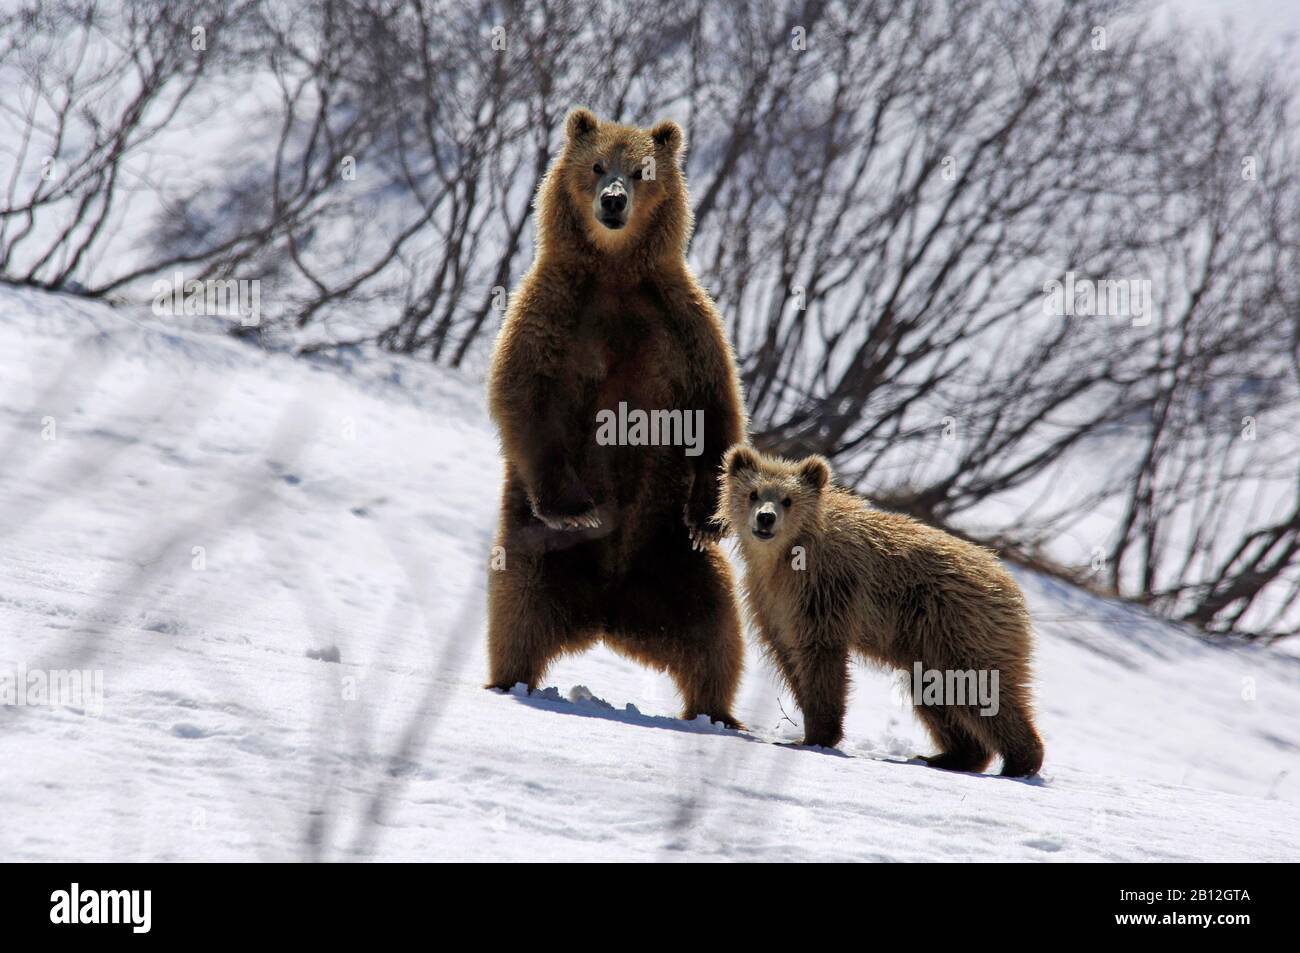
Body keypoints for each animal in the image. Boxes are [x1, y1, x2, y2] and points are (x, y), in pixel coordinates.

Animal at [485, 108, 747, 727]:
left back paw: (716, 713)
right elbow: (524, 395)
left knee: (717, 635)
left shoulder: (682, 321)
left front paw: (710, 515)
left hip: (675, 561)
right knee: (517, 613)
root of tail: (607, 610)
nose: (612, 200)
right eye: (597, 165)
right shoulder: (553, 311)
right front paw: (577, 508)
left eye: (641, 170)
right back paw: (509, 681)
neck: (615, 269)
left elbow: (716, 411)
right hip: (536, 552)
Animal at [718, 445, 1045, 776]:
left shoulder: (825, 591)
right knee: (935, 691)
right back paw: (951, 756)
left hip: (961, 626)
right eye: (753, 493)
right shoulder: (772, 602)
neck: (784, 556)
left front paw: (814, 736)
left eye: (788, 499)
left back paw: (1020, 762)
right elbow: (789, 655)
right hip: (927, 646)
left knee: (978, 685)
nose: (766, 518)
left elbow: (821, 659)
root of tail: (1010, 583)